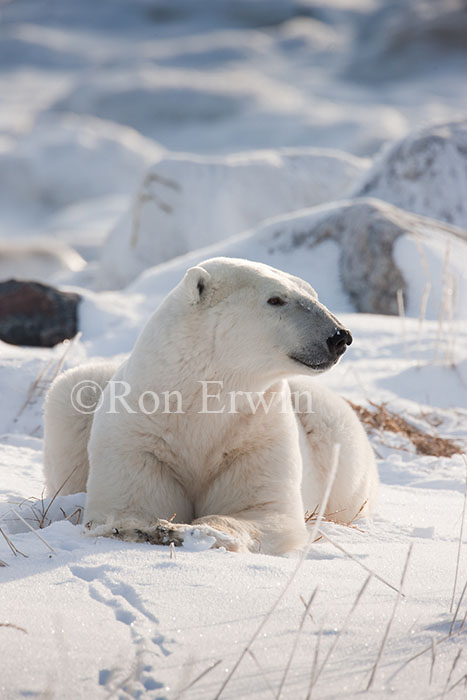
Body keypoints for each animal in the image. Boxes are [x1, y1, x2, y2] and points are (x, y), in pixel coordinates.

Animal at [43, 257, 378, 555]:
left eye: (313, 294)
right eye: (276, 299)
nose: (340, 336)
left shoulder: (257, 434)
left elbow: (260, 511)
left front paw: (181, 530)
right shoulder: (139, 437)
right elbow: (130, 502)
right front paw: (140, 527)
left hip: (331, 427)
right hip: (79, 394)